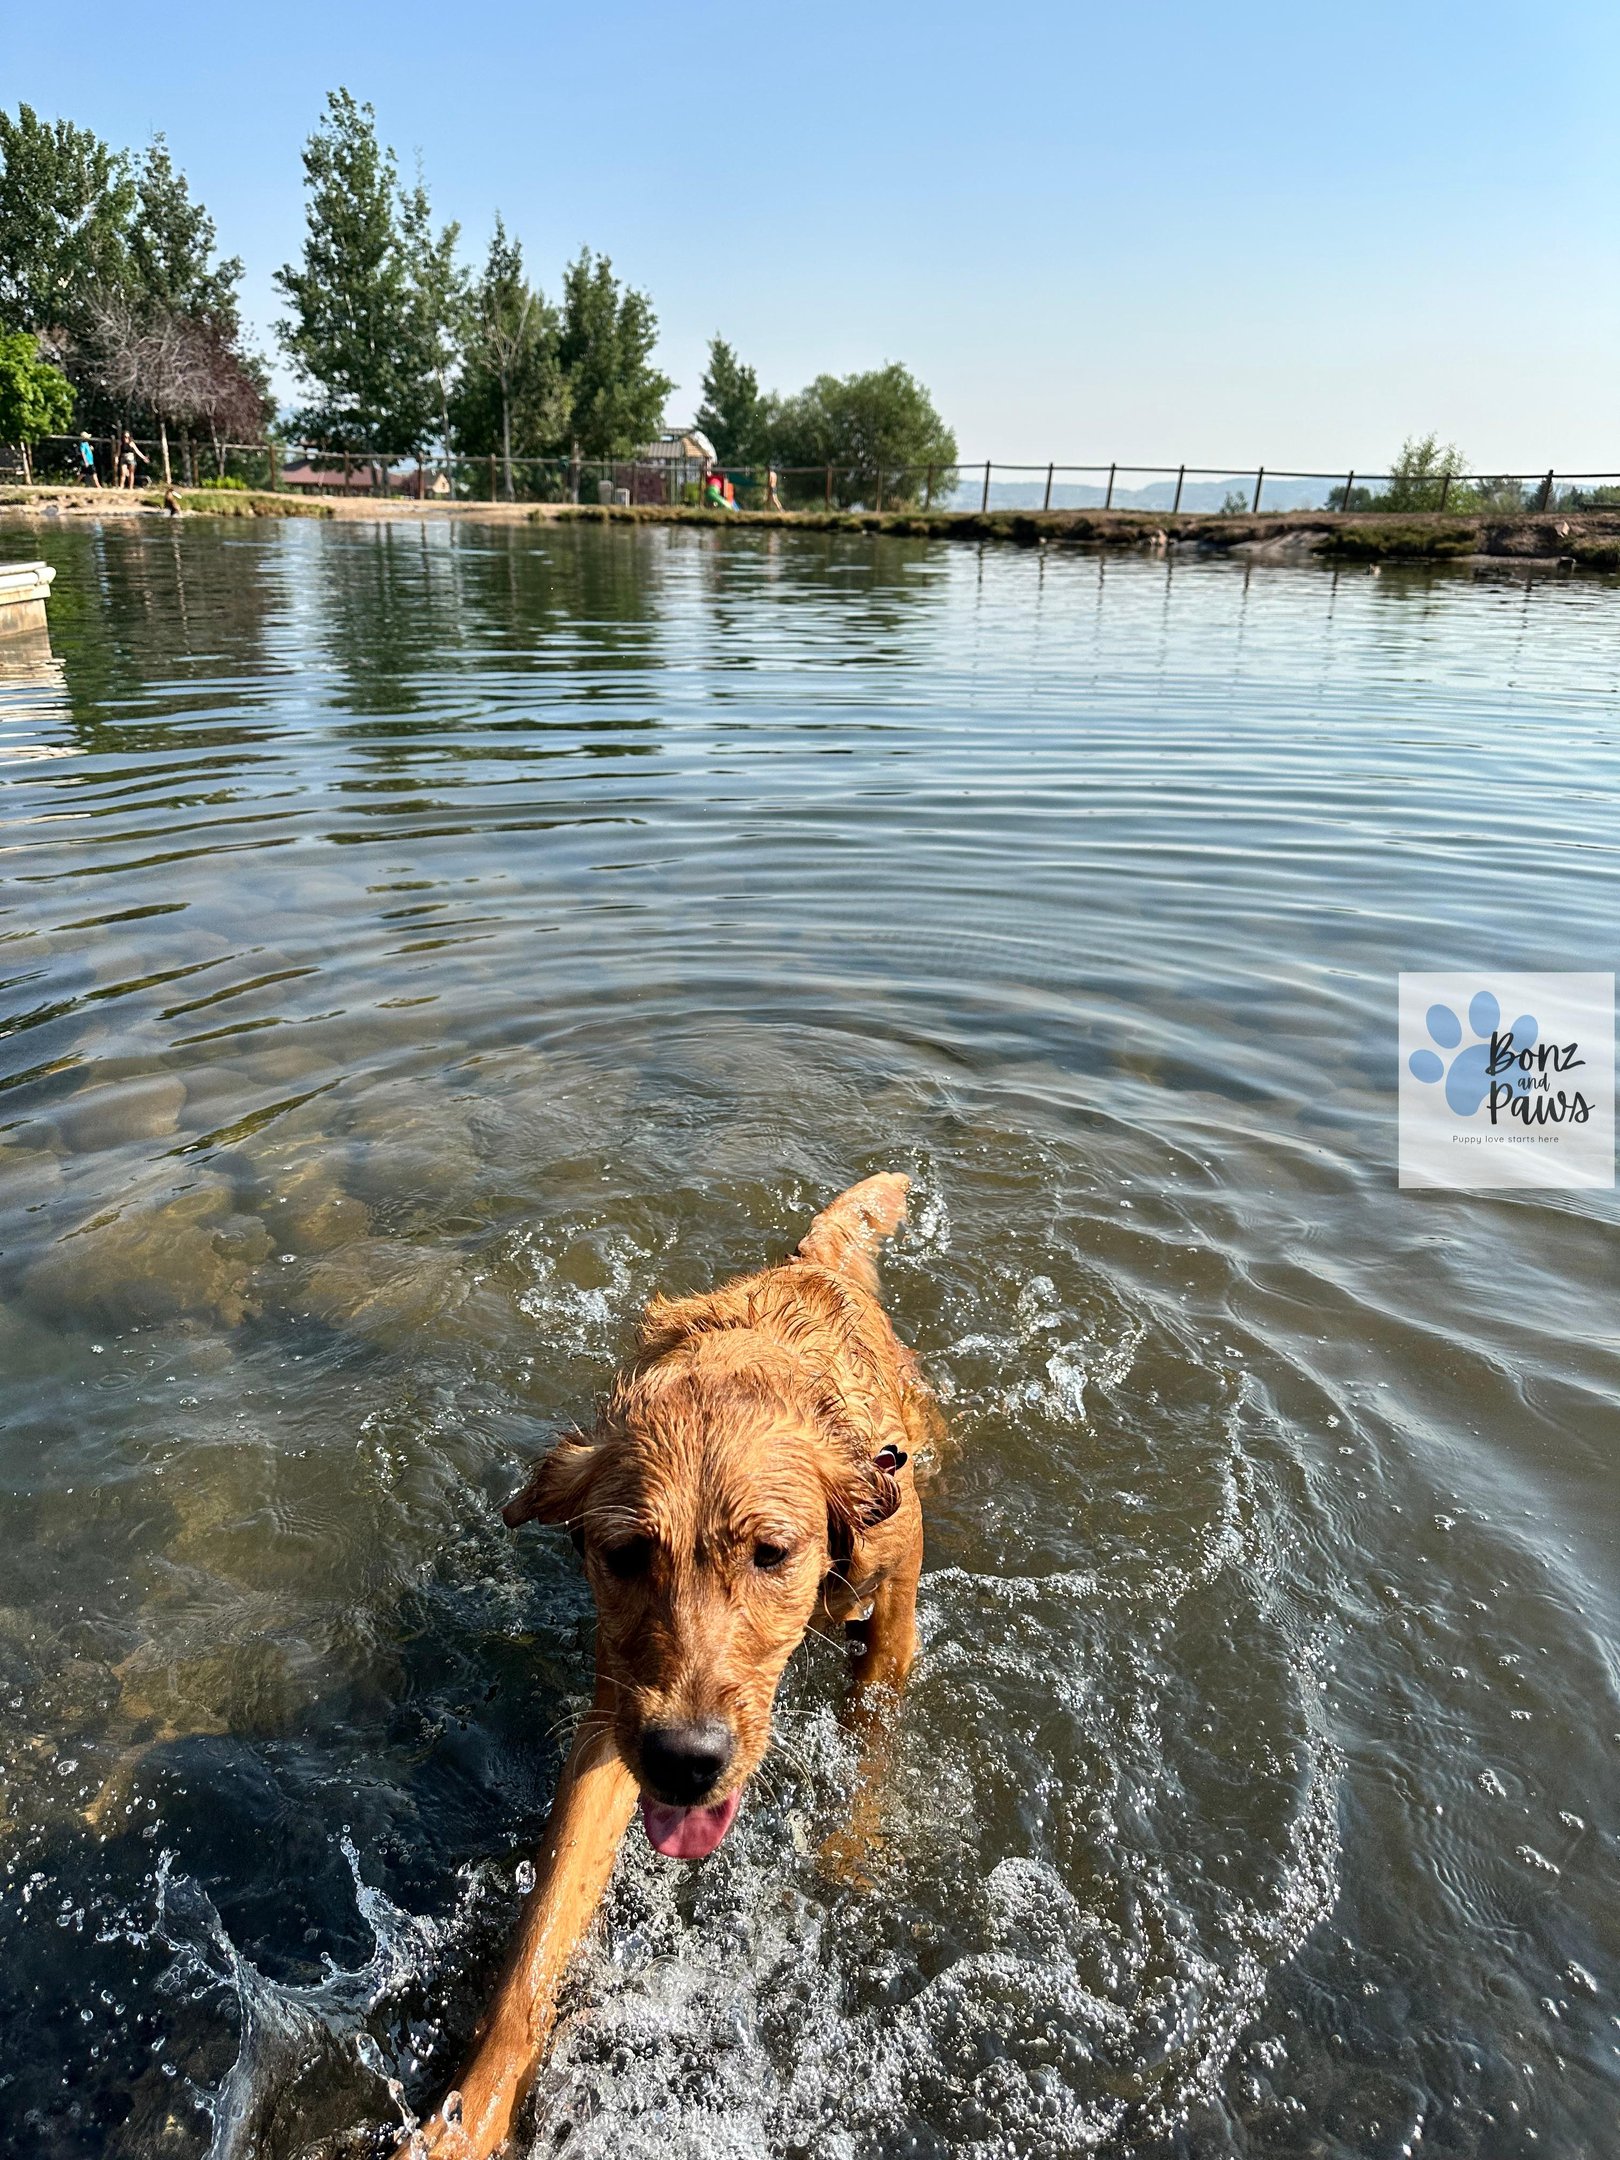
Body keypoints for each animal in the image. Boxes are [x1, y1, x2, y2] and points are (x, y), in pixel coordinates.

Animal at [398, 1173, 936, 2158]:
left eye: (771, 1554)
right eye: (624, 1555)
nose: (688, 1761)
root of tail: (809, 1264)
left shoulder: (895, 1611)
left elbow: (874, 1729)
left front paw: (851, 1851)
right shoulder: (618, 1719)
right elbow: (539, 1945)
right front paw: (470, 2114)